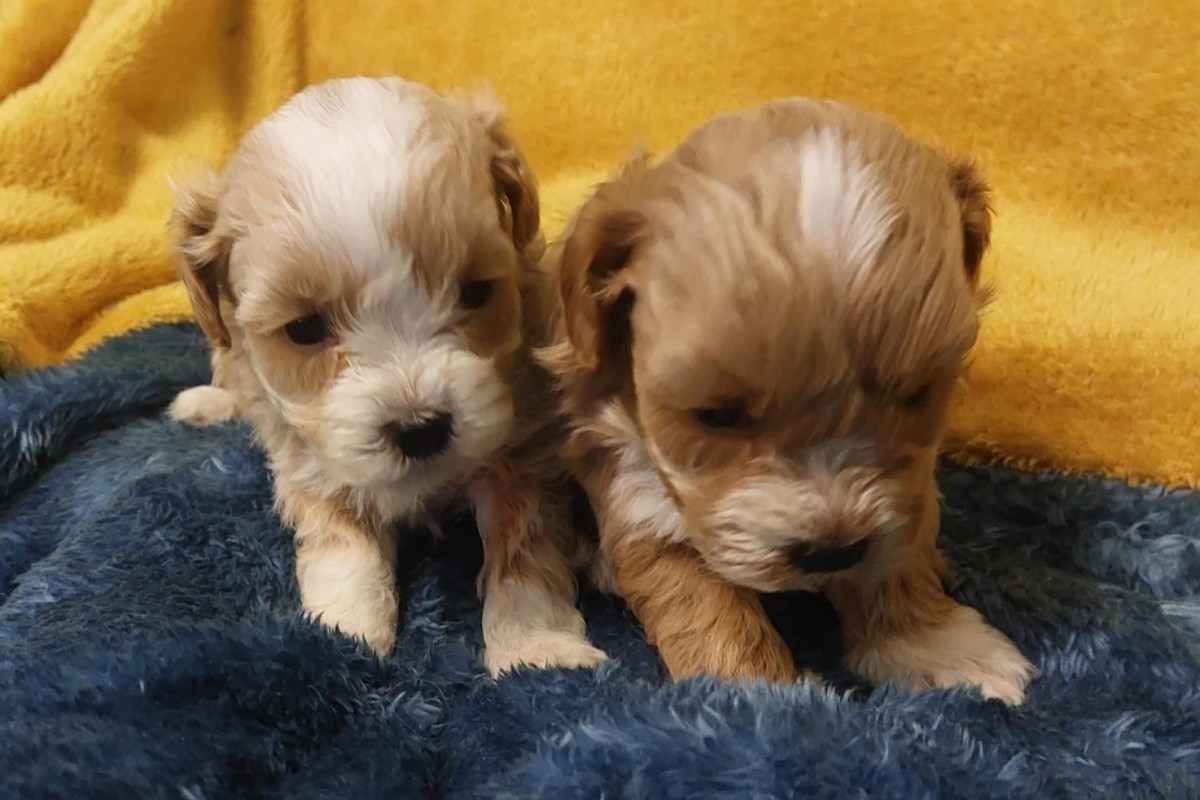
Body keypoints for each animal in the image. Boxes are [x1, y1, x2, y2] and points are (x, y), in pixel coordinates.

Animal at [166, 76, 609, 676]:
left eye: (475, 291)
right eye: (304, 328)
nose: (419, 428)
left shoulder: (523, 454)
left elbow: (525, 553)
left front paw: (538, 649)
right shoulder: (311, 459)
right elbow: (343, 548)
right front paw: (341, 633)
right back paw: (205, 403)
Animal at [540, 97, 1036, 705]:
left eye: (915, 394)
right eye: (717, 416)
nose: (831, 552)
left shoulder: (905, 488)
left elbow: (898, 556)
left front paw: (936, 646)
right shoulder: (631, 479)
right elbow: (700, 600)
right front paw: (761, 695)